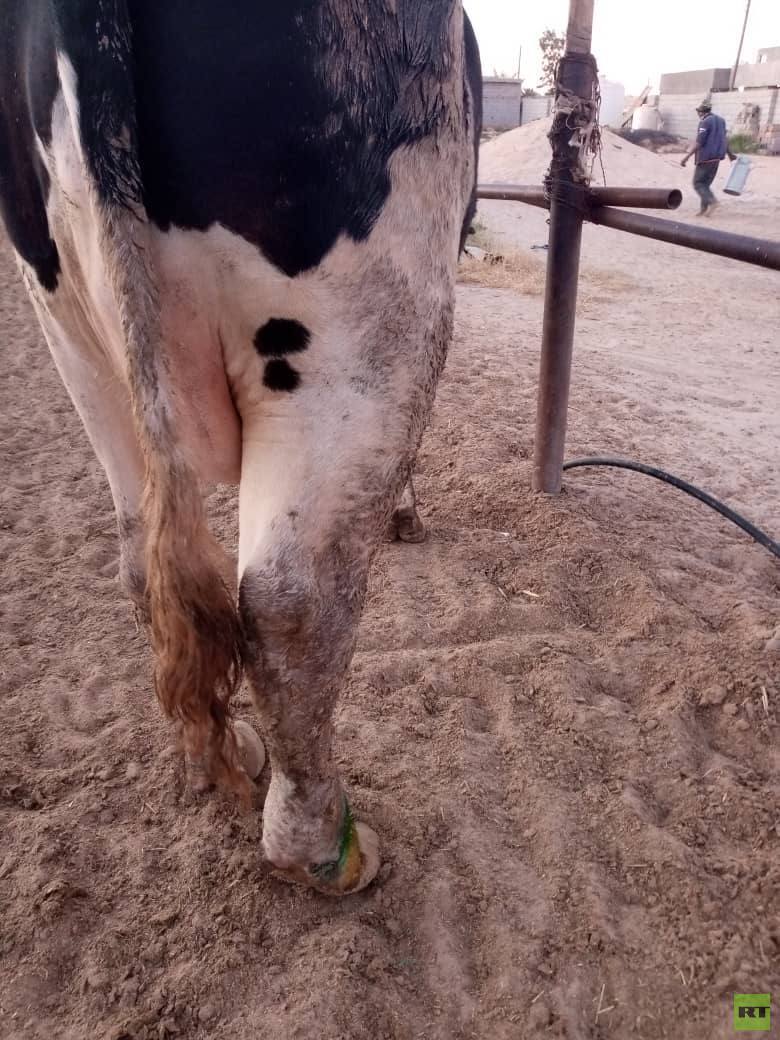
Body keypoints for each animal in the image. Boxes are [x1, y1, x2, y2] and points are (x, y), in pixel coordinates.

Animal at [0, 1, 482, 895]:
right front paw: (406, 509)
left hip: (67, 319)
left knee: (143, 559)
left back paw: (218, 752)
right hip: (367, 323)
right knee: (291, 599)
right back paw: (323, 848)